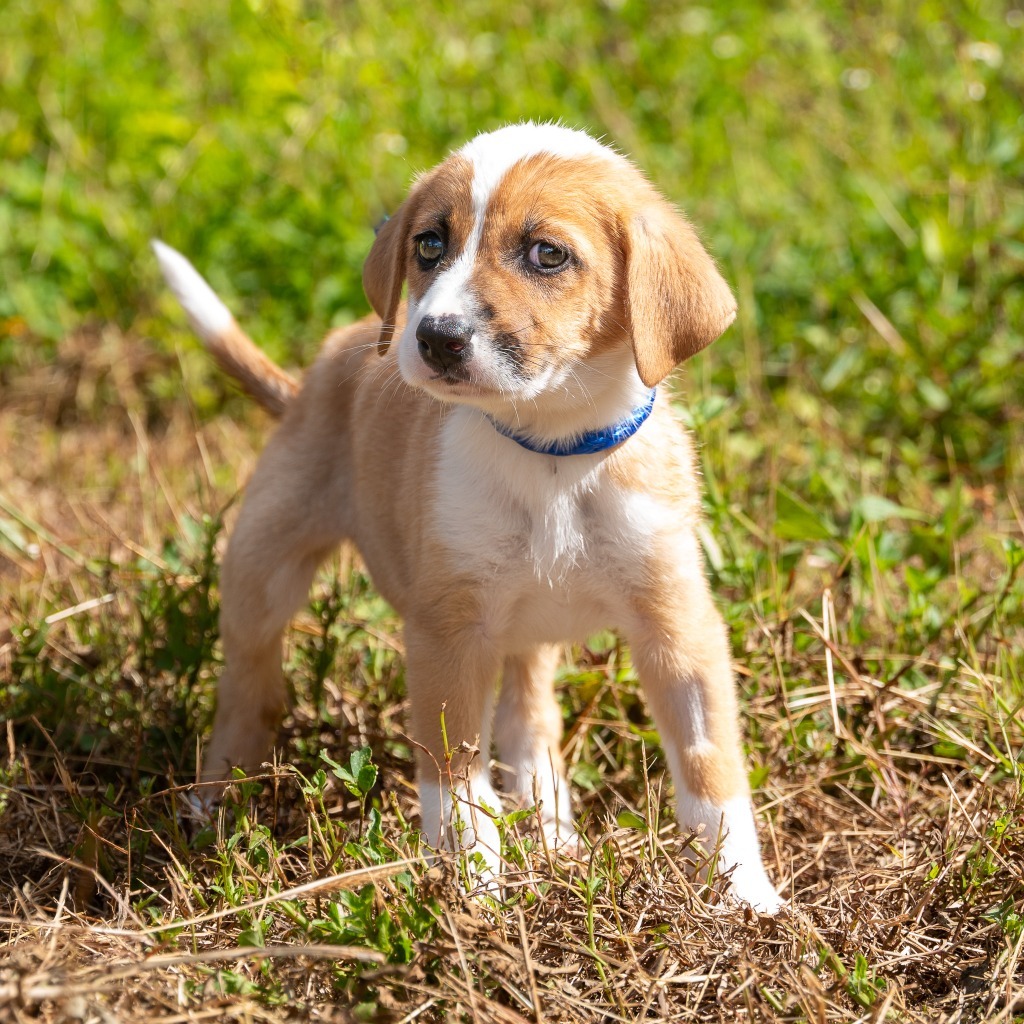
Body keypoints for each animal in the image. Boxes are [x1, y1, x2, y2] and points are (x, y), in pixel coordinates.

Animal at [153, 119, 782, 913]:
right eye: (429, 244)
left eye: (547, 254)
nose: (435, 338)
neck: (552, 455)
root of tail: (309, 378)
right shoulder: (448, 633)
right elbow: (454, 782)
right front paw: (474, 889)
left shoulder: (679, 628)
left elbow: (710, 766)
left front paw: (746, 893)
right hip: (263, 568)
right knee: (249, 688)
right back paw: (213, 803)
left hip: (523, 634)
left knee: (528, 721)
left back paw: (553, 832)